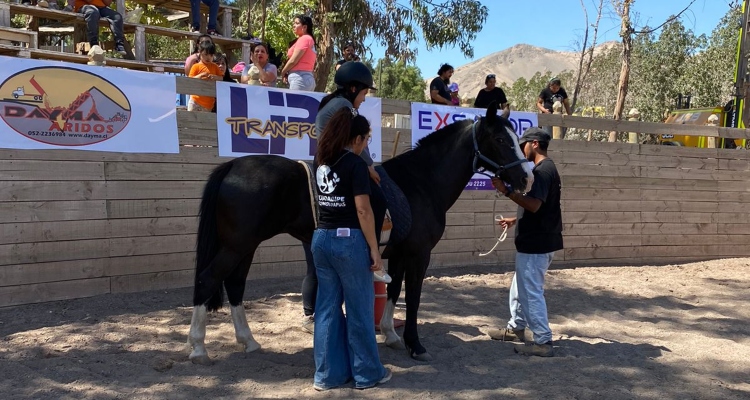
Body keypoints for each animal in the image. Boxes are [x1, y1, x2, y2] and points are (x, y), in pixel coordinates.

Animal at [189, 102, 536, 362]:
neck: (421, 182)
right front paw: (415, 344)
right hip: (237, 246)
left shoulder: (399, 253)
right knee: (208, 279)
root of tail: (233, 166)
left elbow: (394, 291)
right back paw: (198, 347)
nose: (526, 179)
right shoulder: (419, 254)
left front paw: (391, 335)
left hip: (244, 246)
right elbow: (413, 299)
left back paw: (247, 341)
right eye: (501, 140)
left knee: (234, 285)